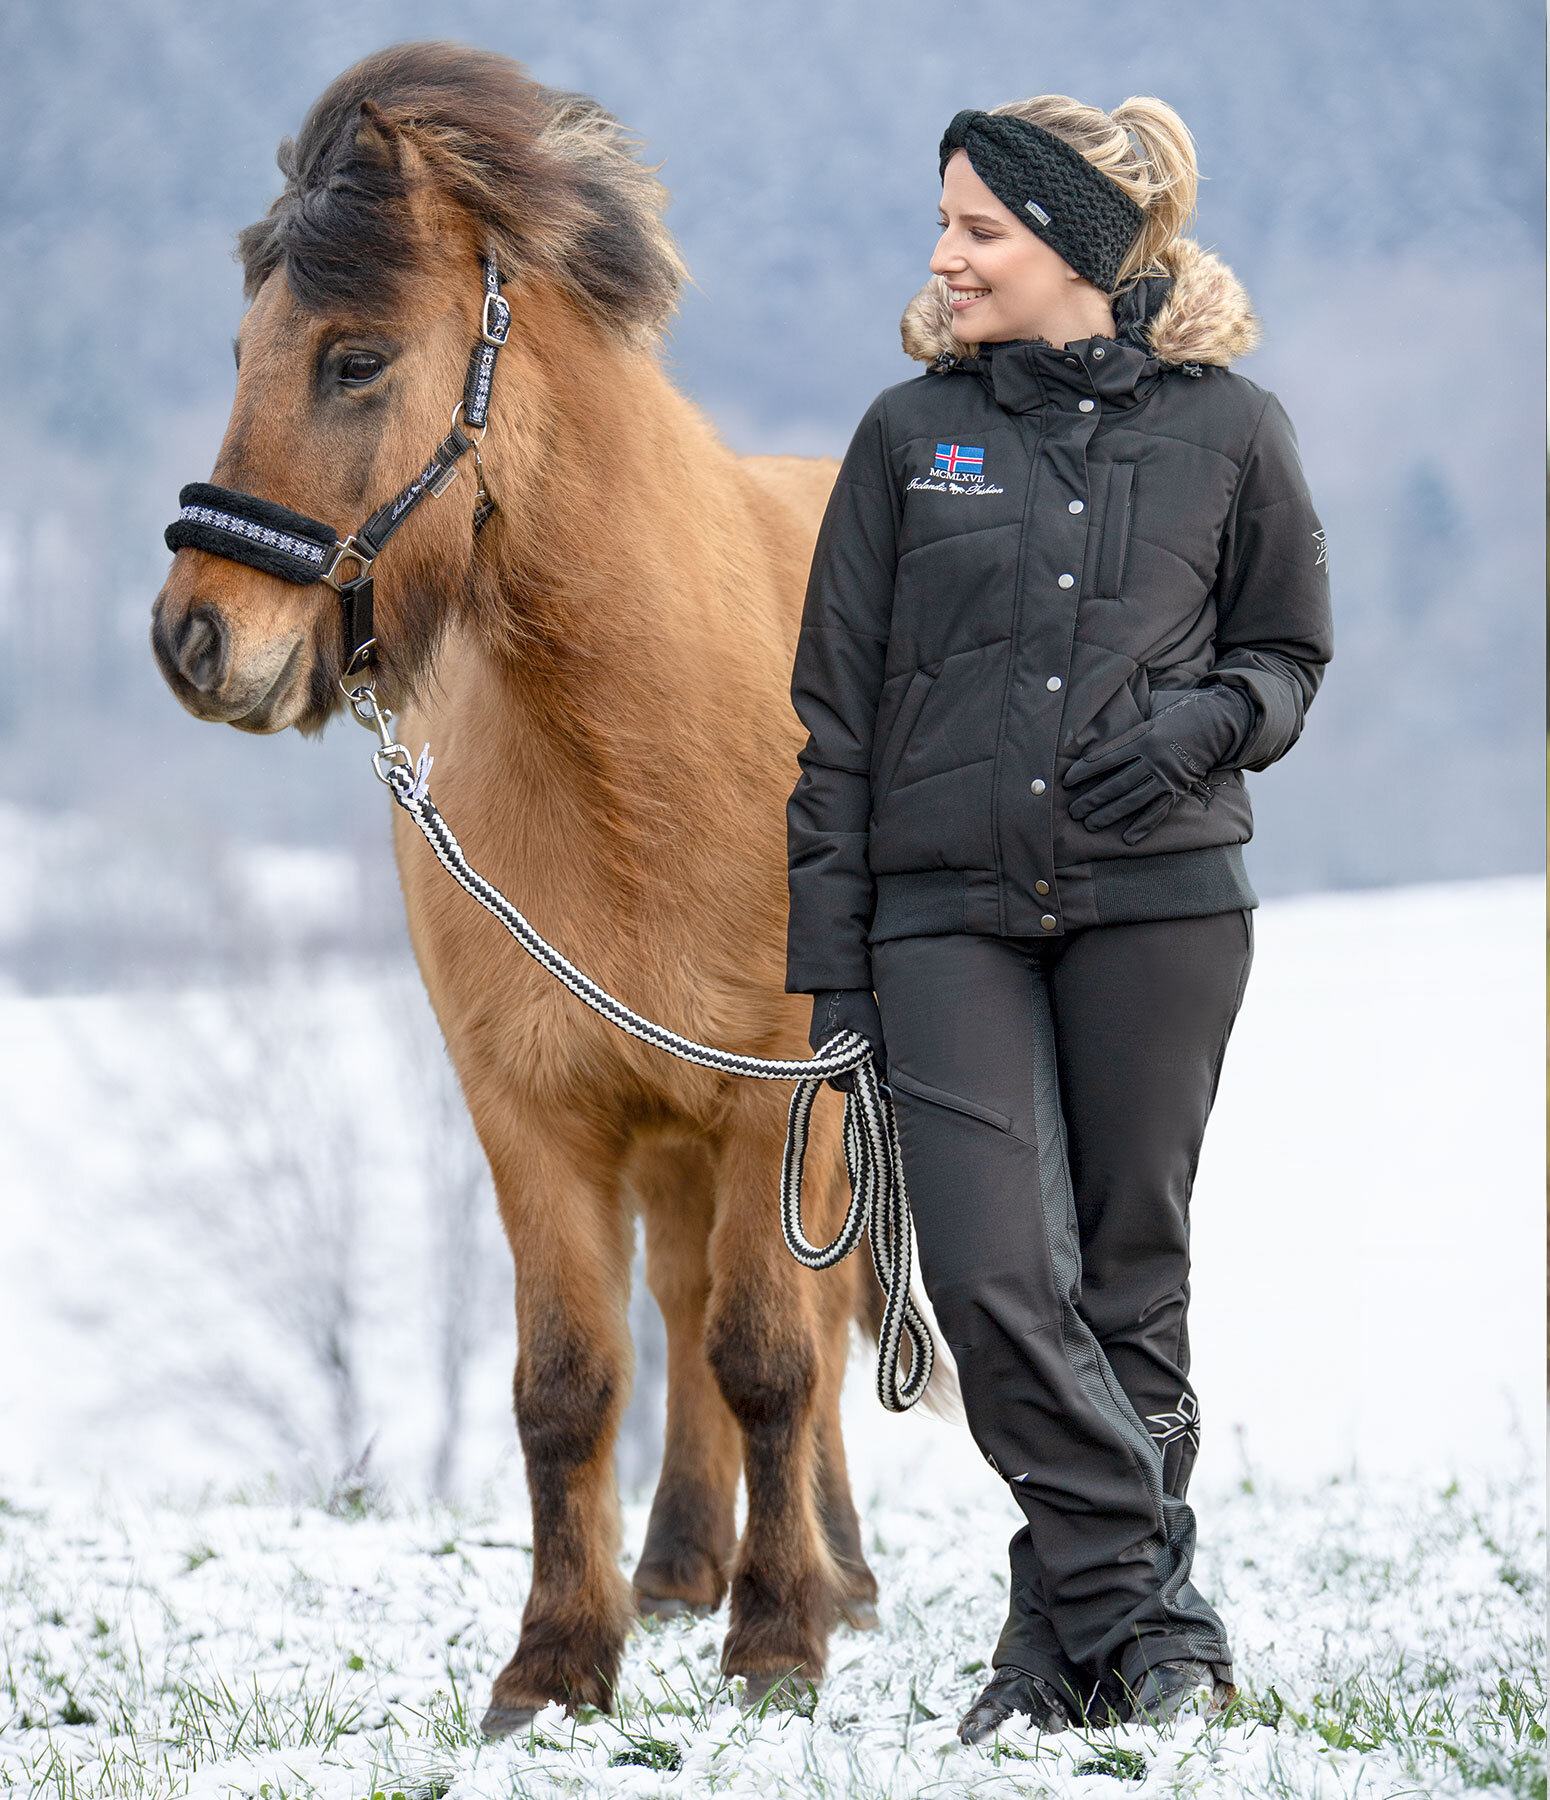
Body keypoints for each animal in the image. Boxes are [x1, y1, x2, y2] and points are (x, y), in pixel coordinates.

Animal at [148, 42, 918, 1728]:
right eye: (240, 347)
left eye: (355, 360)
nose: (193, 639)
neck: (642, 742)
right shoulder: (535, 1109)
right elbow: (571, 1386)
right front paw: (559, 1664)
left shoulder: (772, 1100)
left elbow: (773, 1355)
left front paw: (781, 1640)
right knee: (686, 1311)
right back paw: (683, 1570)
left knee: (809, 1330)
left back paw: (824, 1576)